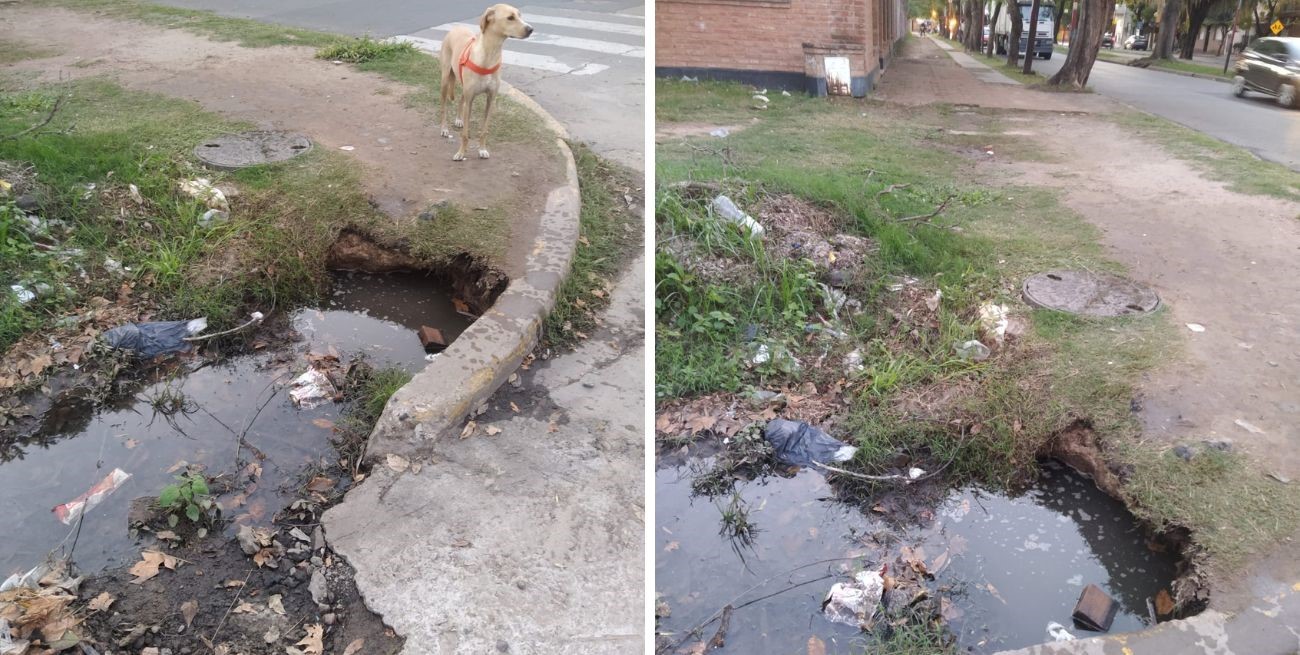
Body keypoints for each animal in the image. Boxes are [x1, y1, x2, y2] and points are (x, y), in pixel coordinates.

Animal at [441, 4, 533, 161]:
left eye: (520, 15)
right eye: (510, 17)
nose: (531, 29)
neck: (490, 53)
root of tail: (456, 27)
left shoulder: (491, 99)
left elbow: (484, 130)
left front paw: (482, 149)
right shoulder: (470, 100)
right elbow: (465, 134)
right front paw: (461, 153)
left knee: (461, 99)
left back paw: (459, 119)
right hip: (445, 80)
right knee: (444, 106)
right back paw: (444, 128)